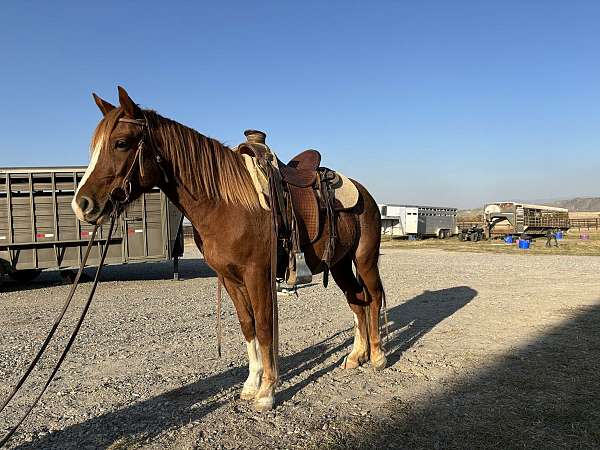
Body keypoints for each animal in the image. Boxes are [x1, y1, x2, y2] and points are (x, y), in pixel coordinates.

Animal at [71, 85, 390, 412]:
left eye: (121, 143)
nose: (82, 204)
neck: (226, 205)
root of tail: (362, 191)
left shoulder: (257, 274)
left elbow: (264, 326)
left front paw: (267, 392)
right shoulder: (229, 278)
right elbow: (248, 325)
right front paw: (251, 385)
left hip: (364, 259)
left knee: (374, 296)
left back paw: (378, 356)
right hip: (339, 264)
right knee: (357, 299)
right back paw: (356, 355)